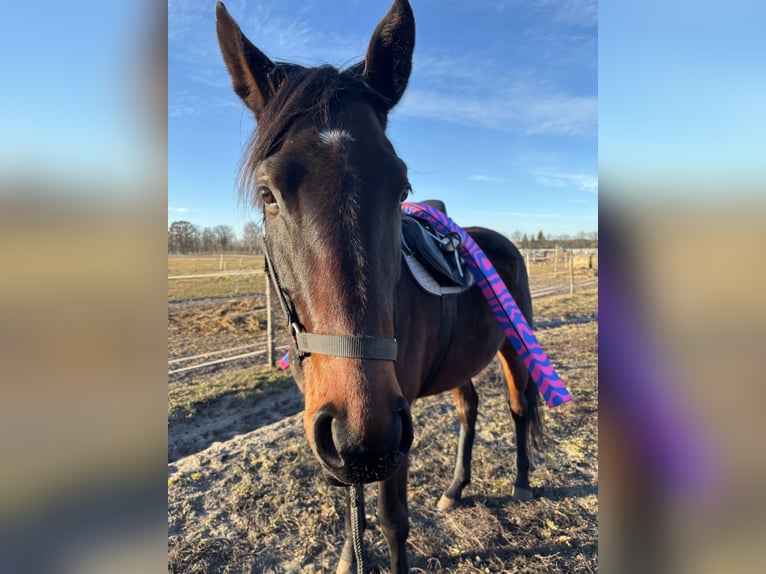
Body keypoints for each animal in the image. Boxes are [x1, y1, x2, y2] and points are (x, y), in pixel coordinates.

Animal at [215, 1, 544, 571]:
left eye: (401, 186)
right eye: (267, 193)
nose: (364, 431)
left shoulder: (391, 428)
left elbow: (392, 521)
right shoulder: (337, 428)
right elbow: (353, 501)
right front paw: (350, 555)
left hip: (511, 349)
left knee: (518, 407)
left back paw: (522, 482)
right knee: (468, 408)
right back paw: (456, 487)